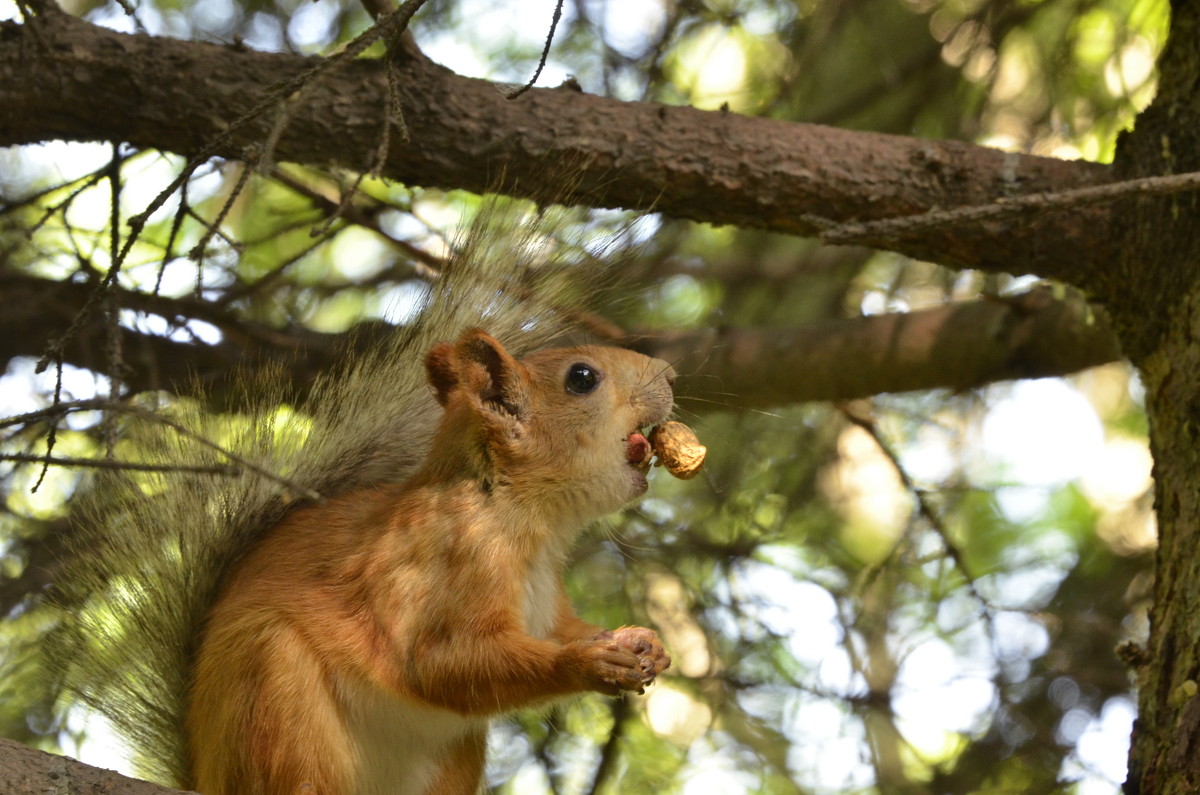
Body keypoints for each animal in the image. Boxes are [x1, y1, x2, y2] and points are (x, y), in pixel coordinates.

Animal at [186, 329, 676, 795]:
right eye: (582, 378)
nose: (670, 374)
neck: (519, 512)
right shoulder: (454, 557)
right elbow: (436, 664)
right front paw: (586, 664)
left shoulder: (547, 605)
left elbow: (563, 631)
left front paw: (640, 641)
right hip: (273, 690)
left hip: (456, 756)